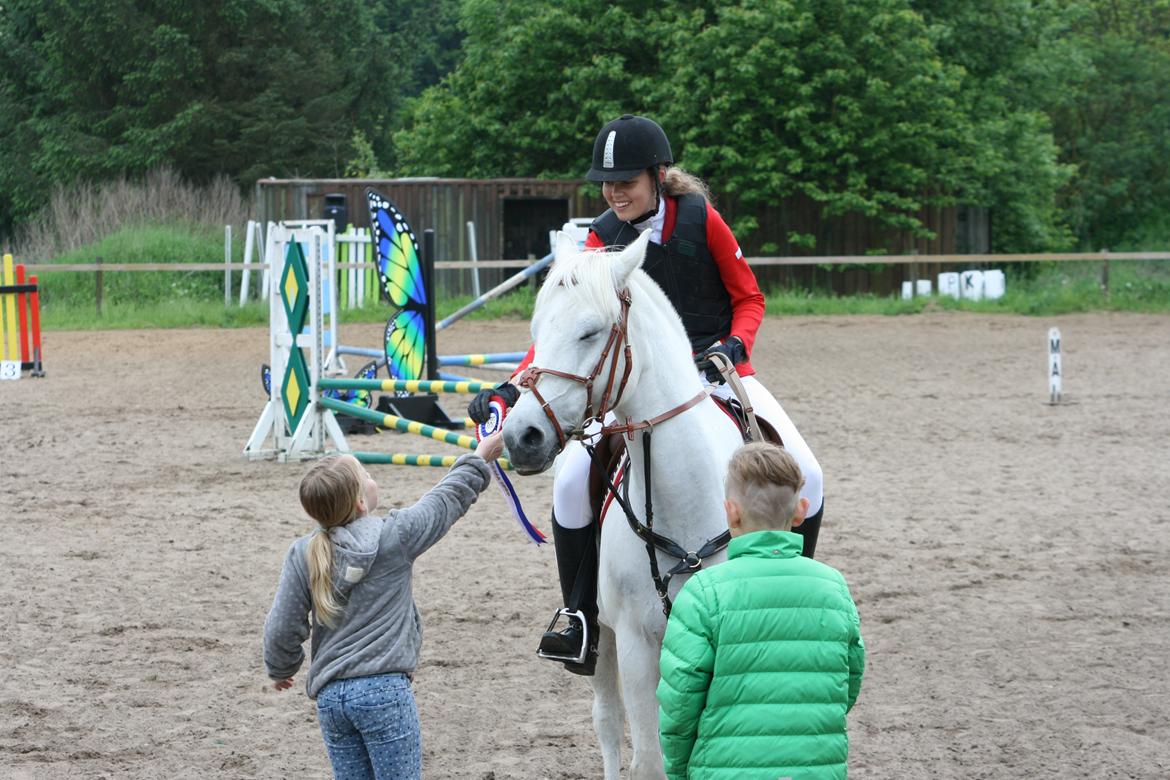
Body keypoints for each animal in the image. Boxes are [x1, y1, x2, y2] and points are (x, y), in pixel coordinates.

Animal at [503, 231, 739, 780]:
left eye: (590, 333)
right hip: (603, 639)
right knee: (608, 722)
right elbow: (650, 758)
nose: (522, 437)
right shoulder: (635, 642)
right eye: (536, 332)